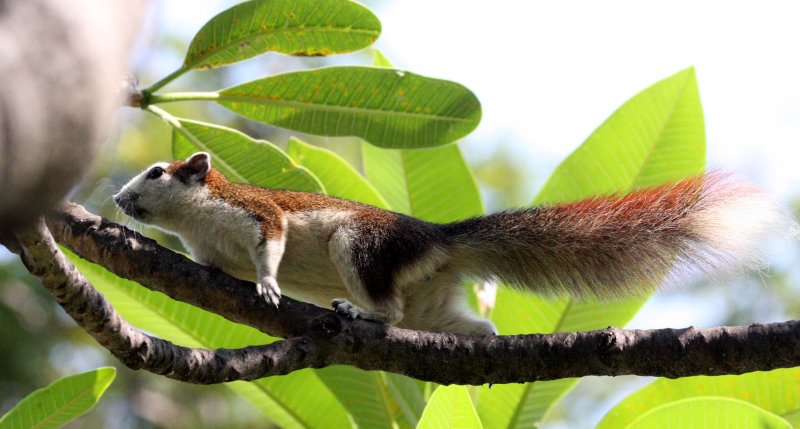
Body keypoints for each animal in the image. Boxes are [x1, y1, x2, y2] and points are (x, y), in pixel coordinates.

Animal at [115, 150, 784, 334]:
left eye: (156, 171)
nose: (118, 201)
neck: (198, 222)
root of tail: (436, 240)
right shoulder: (208, 252)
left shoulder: (259, 215)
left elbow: (272, 244)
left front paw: (267, 284)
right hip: (433, 305)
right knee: (464, 326)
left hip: (360, 246)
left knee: (387, 309)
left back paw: (359, 310)